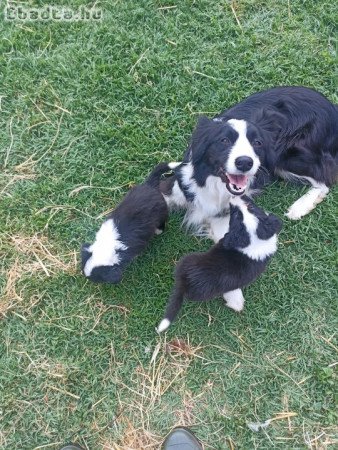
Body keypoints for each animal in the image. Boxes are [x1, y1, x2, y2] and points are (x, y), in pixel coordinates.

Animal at [156, 195, 282, 332]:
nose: (236, 196)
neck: (254, 242)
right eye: (250, 207)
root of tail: (185, 283)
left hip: (186, 259)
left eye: (236, 215)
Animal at [162, 88, 338, 243]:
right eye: (224, 140)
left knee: (325, 180)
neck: (214, 183)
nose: (245, 162)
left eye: (257, 143)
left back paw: (299, 207)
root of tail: (332, 108)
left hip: (289, 157)